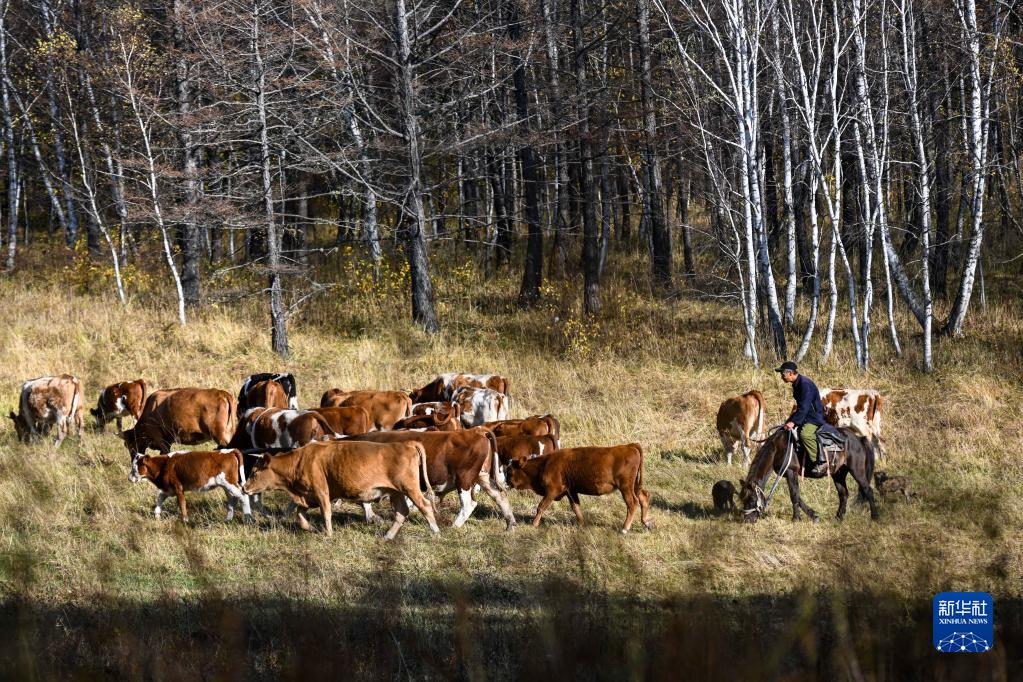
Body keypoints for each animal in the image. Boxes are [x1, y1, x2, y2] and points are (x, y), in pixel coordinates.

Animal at [242, 440, 440, 540]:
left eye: (254, 472)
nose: (244, 488)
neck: (300, 460)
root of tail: (407, 443)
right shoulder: (307, 496)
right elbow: (300, 514)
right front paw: (311, 528)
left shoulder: (321, 492)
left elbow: (326, 513)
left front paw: (328, 534)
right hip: (396, 492)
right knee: (401, 513)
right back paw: (388, 536)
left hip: (409, 488)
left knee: (425, 506)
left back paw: (435, 531)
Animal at [339, 428, 515, 529]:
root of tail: (477, 431)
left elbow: (365, 501)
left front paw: (373, 518)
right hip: (483, 477)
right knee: (500, 497)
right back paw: (510, 523)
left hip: (464, 479)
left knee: (469, 504)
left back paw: (453, 526)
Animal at [505, 444, 652, 533]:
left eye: (510, 471)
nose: (506, 483)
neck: (544, 464)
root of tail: (629, 446)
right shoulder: (571, 491)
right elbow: (576, 508)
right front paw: (582, 524)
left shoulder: (552, 490)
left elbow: (541, 506)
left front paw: (534, 524)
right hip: (635, 486)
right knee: (644, 497)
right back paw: (646, 522)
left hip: (626, 487)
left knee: (632, 503)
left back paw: (625, 528)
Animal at [738, 426, 878, 523]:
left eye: (752, 500)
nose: (747, 520)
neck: (777, 449)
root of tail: (859, 438)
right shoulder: (788, 475)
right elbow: (798, 496)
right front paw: (814, 516)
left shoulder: (791, 472)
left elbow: (794, 495)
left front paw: (795, 518)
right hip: (838, 474)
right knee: (843, 494)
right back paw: (838, 518)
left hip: (857, 471)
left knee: (868, 490)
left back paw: (874, 517)